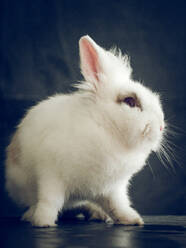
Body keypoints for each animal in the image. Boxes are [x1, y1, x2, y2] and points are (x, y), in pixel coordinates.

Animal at [5, 35, 164, 227]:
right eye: (130, 101)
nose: (162, 126)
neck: (105, 127)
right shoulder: (51, 175)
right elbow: (49, 200)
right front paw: (43, 222)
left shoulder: (114, 188)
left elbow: (119, 204)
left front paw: (132, 219)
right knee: (38, 202)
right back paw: (30, 215)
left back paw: (98, 214)